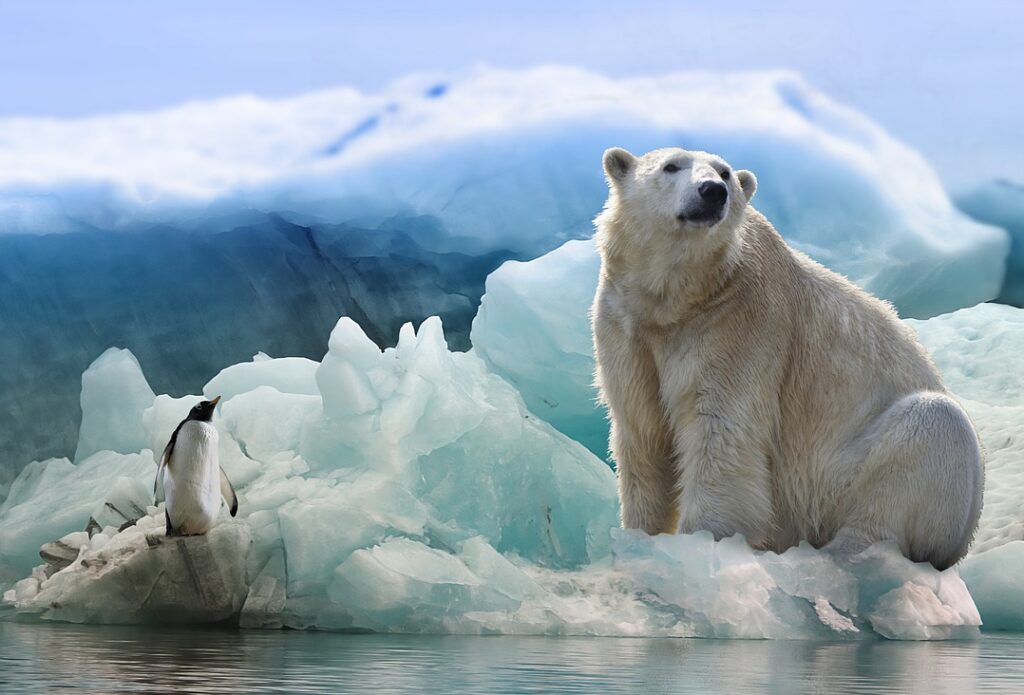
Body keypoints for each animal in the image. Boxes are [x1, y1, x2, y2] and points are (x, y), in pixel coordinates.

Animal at [591, 146, 984, 570]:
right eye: (670, 166)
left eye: (725, 173)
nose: (712, 192)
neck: (680, 299)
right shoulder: (626, 327)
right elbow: (643, 432)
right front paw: (639, 538)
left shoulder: (739, 322)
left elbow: (721, 432)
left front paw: (702, 543)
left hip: (848, 477)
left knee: (930, 429)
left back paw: (846, 552)